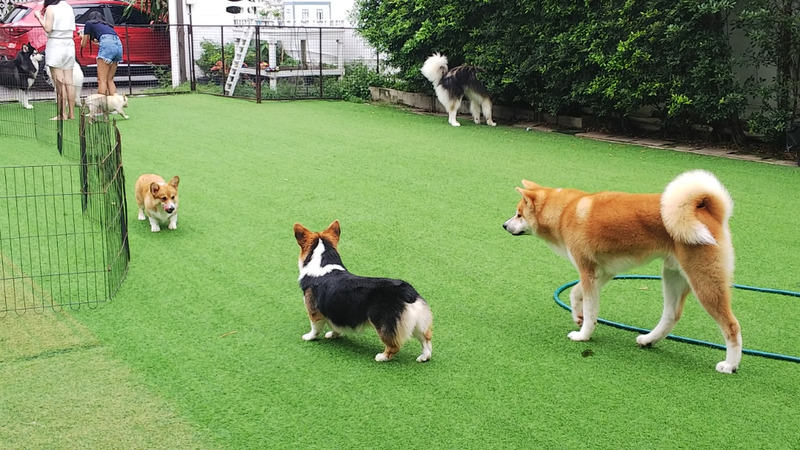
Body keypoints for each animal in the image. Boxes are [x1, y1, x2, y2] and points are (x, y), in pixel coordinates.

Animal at [293, 220, 433, 362]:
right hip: (418, 322)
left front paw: (309, 337)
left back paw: (382, 357)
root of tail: (407, 291)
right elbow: (335, 325)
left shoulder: (314, 312)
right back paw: (424, 357)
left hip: (384, 324)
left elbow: (315, 328)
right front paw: (333, 334)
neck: (323, 263)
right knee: (426, 340)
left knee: (394, 346)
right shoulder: (336, 312)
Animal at [503, 170, 741, 373]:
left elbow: (591, 310)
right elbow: (575, 294)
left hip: (704, 283)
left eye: (518, 214)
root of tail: (707, 210)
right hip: (673, 275)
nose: (504, 225)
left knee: (731, 326)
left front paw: (583, 335)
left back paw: (730, 365)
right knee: (671, 315)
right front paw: (577, 316)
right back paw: (649, 340)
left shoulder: (588, 271)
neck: (566, 211)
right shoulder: (602, 272)